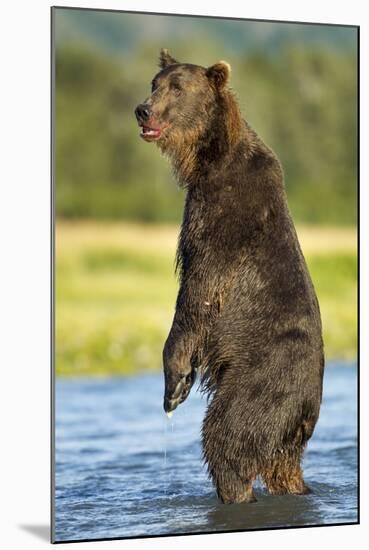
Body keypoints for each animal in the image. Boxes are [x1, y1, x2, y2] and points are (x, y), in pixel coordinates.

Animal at [134, 49, 322, 506]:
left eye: (177, 88)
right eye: (154, 83)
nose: (142, 109)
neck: (207, 159)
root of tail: (307, 407)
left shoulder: (222, 217)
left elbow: (197, 293)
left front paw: (175, 383)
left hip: (262, 381)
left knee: (227, 438)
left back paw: (233, 493)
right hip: (287, 433)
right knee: (282, 465)